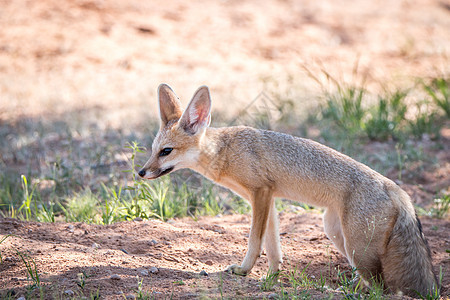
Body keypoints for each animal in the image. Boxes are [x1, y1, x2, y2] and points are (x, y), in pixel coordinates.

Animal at [139, 83, 438, 296]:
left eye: (166, 152)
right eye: (153, 150)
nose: (141, 172)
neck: (226, 151)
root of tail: (396, 189)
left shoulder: (260, 193)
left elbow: (255, 241)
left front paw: (245, 271)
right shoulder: (268, 198)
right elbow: (273, 247)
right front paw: (271, 278)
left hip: (356, 247)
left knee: (382, 289)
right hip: (336, 233)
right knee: (373, 284)